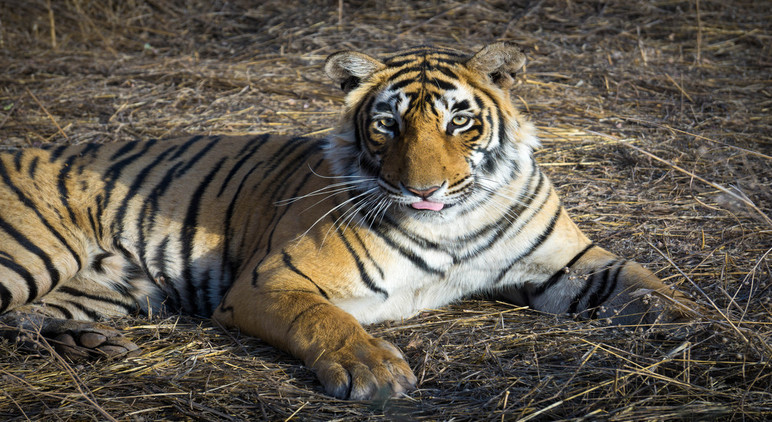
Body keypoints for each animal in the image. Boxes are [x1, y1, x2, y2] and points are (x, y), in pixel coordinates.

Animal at [0, 42, 696, 398]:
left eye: (459, 121)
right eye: (386, 123)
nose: (423, 188)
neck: (453, 222)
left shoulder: (569, 263)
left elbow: (645, 284)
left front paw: (697, 323)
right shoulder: (272, 279)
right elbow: (324, 319)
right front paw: (374, 371)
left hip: (109, 289)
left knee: (19, 321)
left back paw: (89, 344)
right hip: (34, 254)